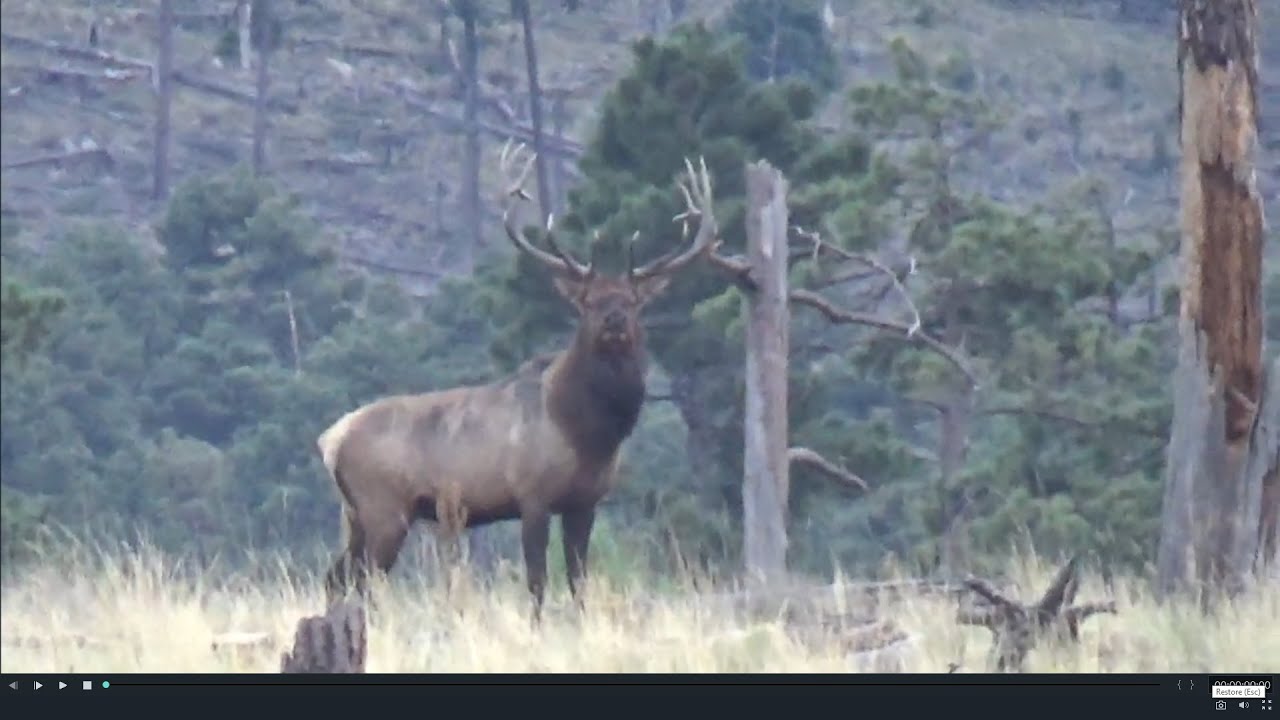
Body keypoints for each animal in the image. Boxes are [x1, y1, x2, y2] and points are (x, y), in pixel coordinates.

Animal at [315, 142, 719, 623]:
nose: (614, 319)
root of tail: (330, 439)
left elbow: (578, 582)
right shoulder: (532, 496)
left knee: (337, 577)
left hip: (355, 515)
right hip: (383, 508)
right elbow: (537, 581)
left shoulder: (585, 502)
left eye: (634, 301)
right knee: (362, 581)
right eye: (587, 301)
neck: (588, 434)